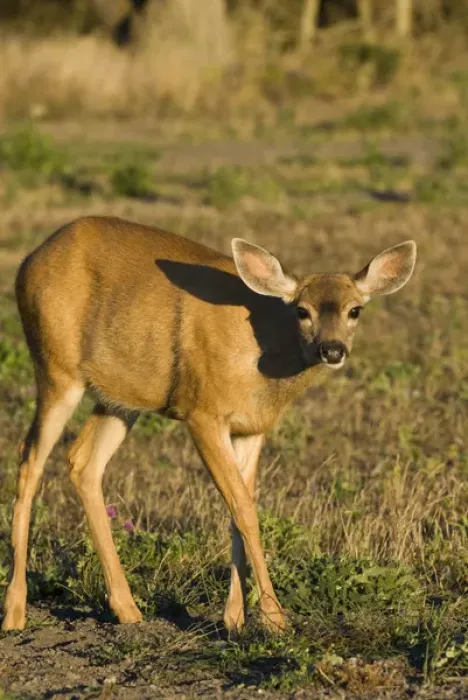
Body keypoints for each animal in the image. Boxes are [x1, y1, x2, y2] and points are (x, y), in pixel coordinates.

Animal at [2, 216, 416, 633]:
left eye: (355, 310)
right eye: (302, 310)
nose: (332, 350)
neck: (262, 355)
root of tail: (30, 260)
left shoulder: (252, 427)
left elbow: (239, 508)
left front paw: (234, 618)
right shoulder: (202, 412)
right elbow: (244, 510)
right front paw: (274, 618)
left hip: (120, 396)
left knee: (83, 462)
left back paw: (127, 609)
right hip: (56, 367)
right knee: (29, 459)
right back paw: (15, 611)